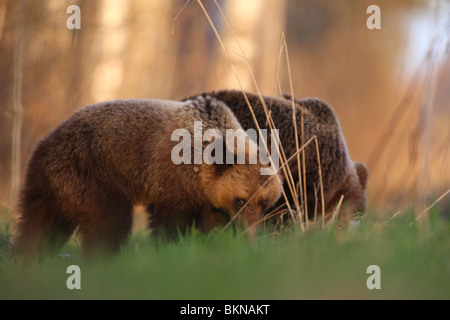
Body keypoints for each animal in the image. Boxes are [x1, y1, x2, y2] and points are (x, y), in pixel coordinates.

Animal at [12, 96, 282, 262]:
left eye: (264, 202)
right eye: (240, 200)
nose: (251, 232)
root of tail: (44, 142)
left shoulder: (207, 198)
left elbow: (213, 226)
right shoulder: (174, 180)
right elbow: (170, 222)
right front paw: (169, 248)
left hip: (48, 186)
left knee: (40, 226)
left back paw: (28, 259)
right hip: (87, 174)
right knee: (107, 220)